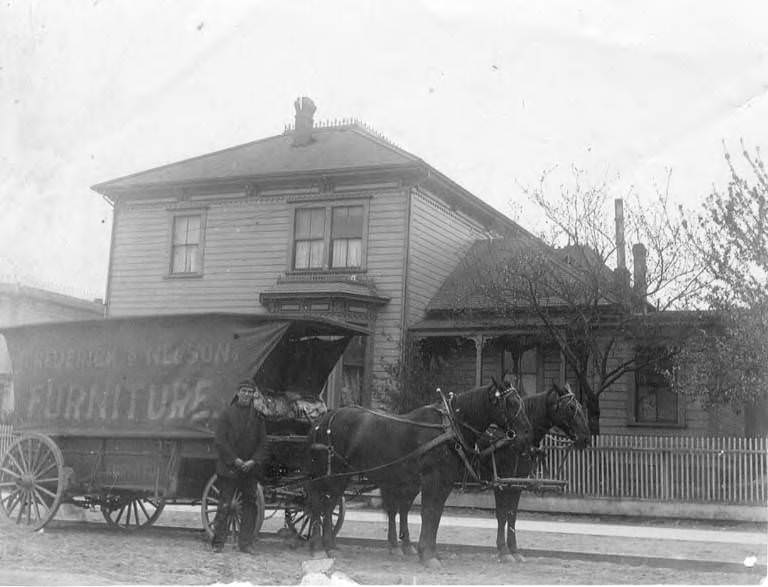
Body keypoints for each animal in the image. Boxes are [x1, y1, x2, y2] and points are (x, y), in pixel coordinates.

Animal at [304, 382, 532, 568]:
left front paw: (430, 552)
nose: (526, 435)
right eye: (511, 403)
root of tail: (324, 419)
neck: (448, 429)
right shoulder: (432, 480)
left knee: (329, 505)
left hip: (341, 476)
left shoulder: (444, 483)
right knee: (316, 504)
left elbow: (436, 515)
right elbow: (428, 513)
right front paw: (427, 554)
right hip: (328, 475)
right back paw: (317, 547)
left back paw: (330, 545)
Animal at [486, 384, 588, 564]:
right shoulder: (502, 482)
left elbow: (512, 515)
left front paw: (514, 550)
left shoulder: (517, 482)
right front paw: (503, 550)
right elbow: (502, 514)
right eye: (571, 407)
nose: (585, 437)